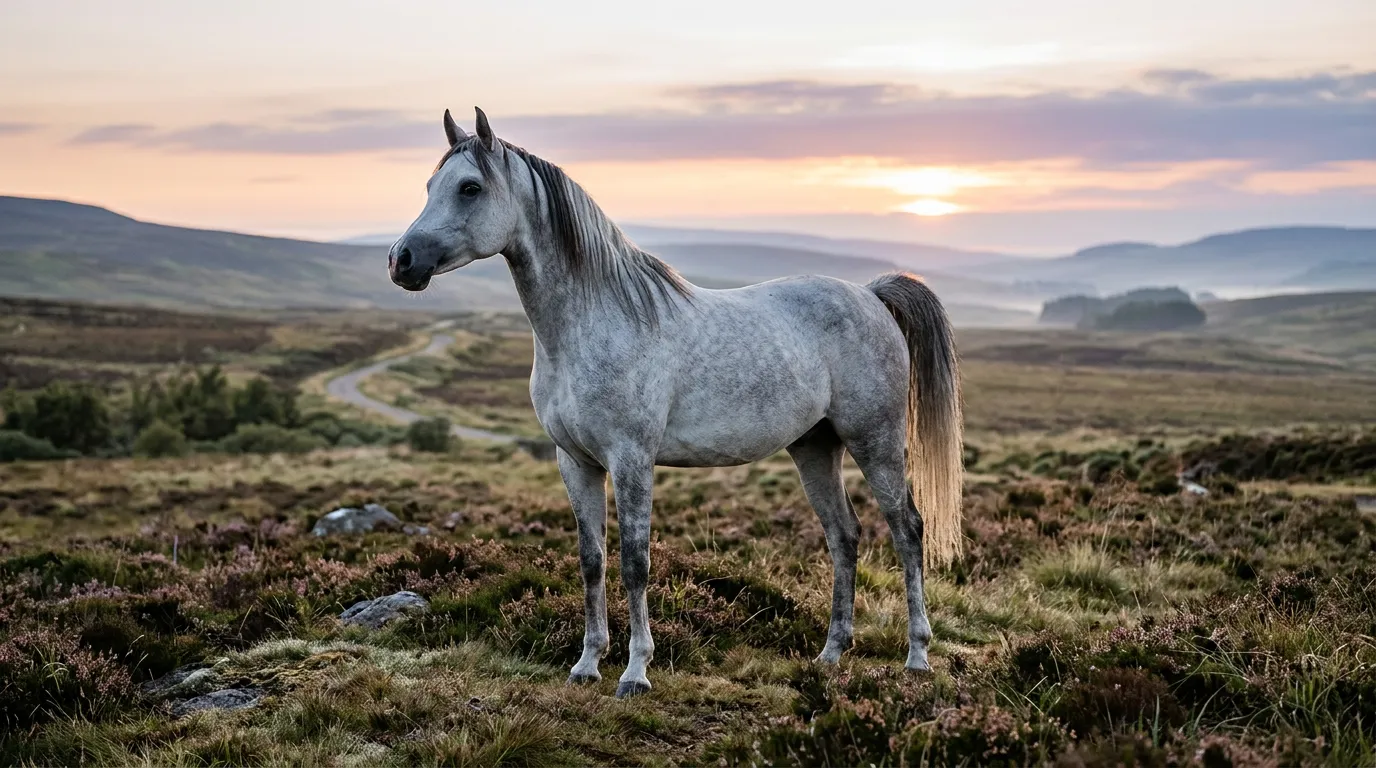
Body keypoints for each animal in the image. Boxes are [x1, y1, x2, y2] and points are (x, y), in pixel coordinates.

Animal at [389, 107, 964, 698]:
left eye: (470, 187)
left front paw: (635, 672)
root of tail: (871, 294)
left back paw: (917, 656)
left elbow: (634, 562)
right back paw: (830, 653)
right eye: (431, 186)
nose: (401, 261)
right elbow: (592, 560)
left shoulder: (632, 459)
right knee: (843, 535)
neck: (590, 324)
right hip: (814, 447)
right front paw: (587, 664)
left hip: (875, 441)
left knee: (907, 529)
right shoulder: (576, 462)